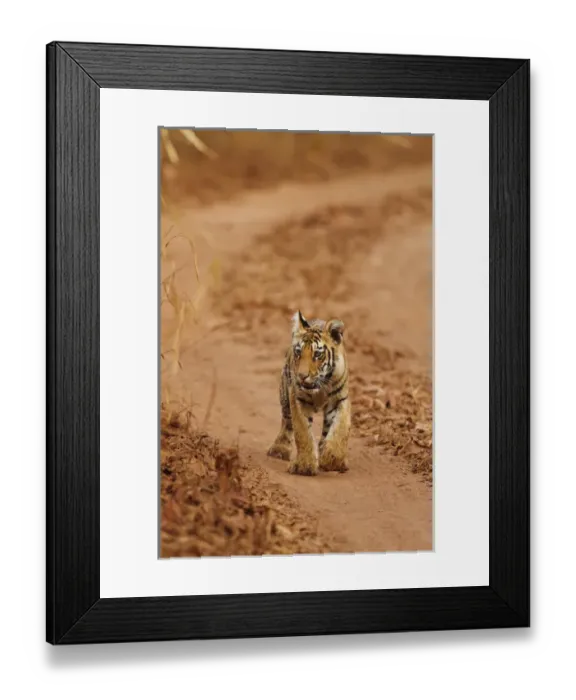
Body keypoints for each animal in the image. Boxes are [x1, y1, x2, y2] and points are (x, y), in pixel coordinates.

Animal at [267, 310, 351, 476]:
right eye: (298, 352)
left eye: (318, 354)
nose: (301, 375)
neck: (320, 388)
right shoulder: (298, 399)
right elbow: (302, 432)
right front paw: (304, 466)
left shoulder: (340, 400)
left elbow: (340, 429)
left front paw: (331, 460)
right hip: (285, 394)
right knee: (287, 422)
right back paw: (279, 449)